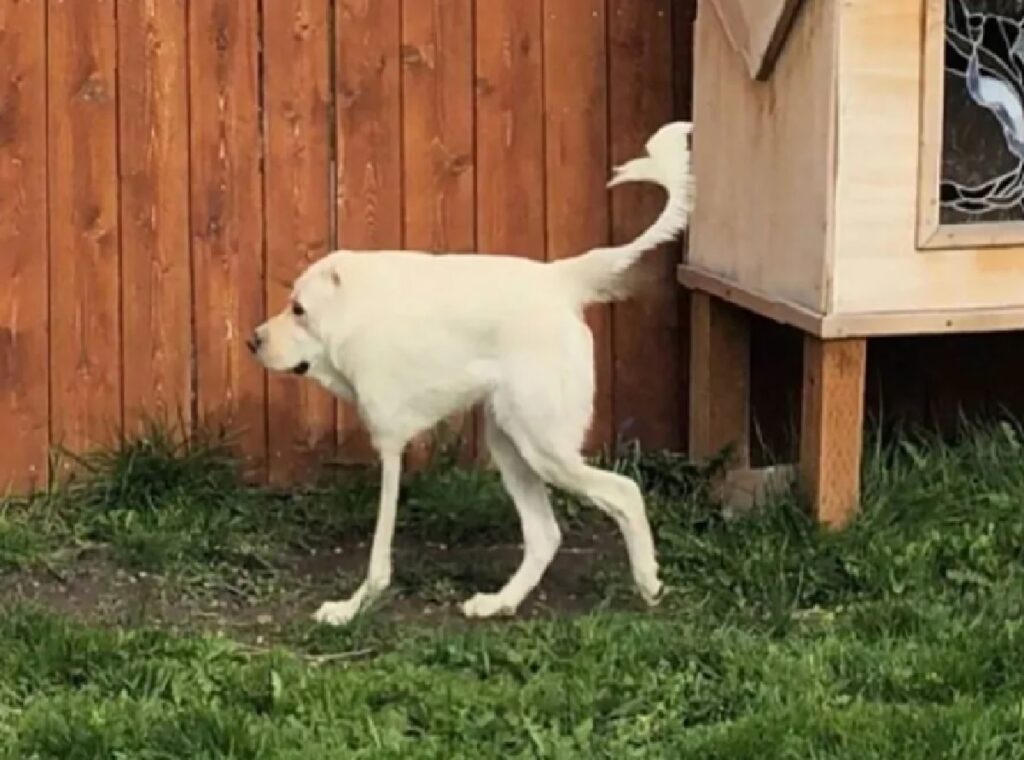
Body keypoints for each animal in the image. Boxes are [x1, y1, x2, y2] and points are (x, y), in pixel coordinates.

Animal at [250, 123, 692, 626]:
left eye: (299, 310)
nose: (252, 341)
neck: (357, 313)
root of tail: (560, 279)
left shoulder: (390, 447)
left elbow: (379, 552)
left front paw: (353, 606)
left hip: (544, 446)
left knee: (625, 492)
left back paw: (648, 583)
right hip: (512, 444)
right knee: (545, 534)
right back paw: (500, 602)